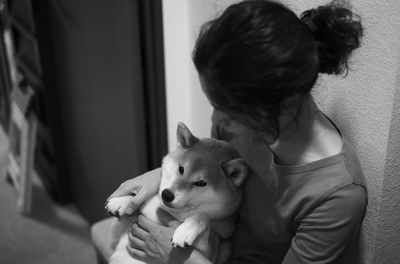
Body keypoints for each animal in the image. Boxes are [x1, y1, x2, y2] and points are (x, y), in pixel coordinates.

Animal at [105, 122, 250, 262]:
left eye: (201, 183)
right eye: (181, 169)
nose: (167, 194)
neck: (174, 212)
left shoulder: (212, 249)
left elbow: (203, 216)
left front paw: (186, 230)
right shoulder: (118, 233)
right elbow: (135, 203)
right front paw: (122, 202)